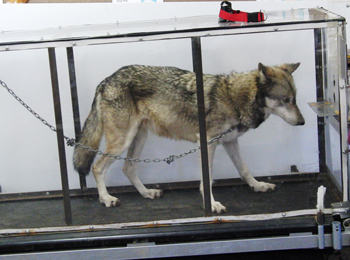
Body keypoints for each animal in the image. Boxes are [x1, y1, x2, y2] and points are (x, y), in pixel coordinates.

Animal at [73, 62, 304, 213]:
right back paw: (107, 199)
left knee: (127, 168)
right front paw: (212, 205)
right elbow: (208, 178)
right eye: (286, 100)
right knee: (98, 167)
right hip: (122, 142)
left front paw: (258, 186)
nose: (302, 122)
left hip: (138, 138)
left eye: (295, 99)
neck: (233, 98)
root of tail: (105, 81)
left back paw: (147, 193)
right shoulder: (208, 143)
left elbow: (244, 169)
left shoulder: (230, 141)